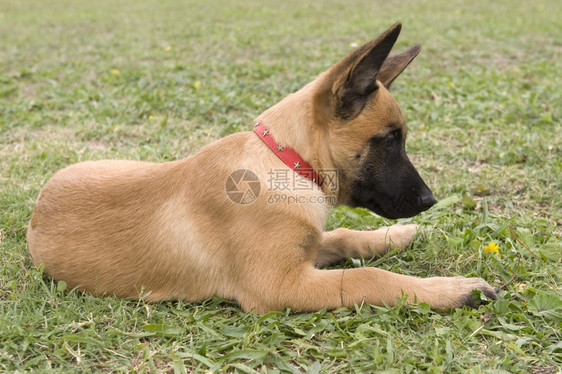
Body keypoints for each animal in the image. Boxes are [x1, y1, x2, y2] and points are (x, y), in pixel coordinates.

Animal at [29, 21, 494, 312]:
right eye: (389, 140)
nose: (430, 200)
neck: (285, 160)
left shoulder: (304, 253)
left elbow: (342, 236)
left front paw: (393, 236)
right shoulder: (281, 285)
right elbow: (371, 279)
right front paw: (452, 290)